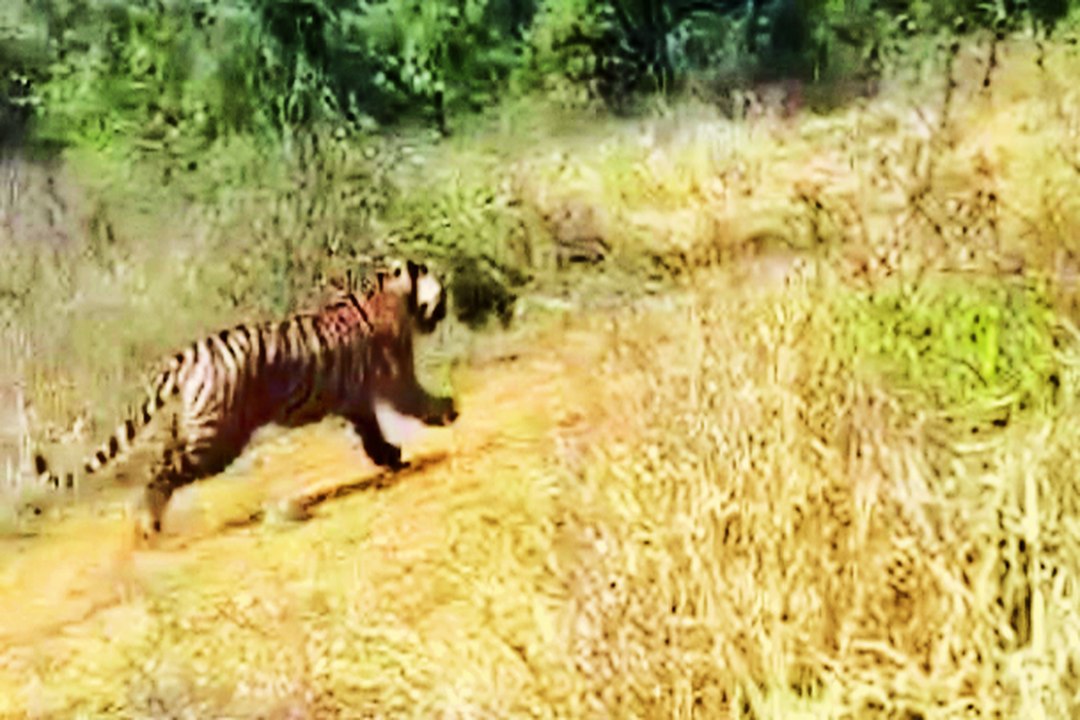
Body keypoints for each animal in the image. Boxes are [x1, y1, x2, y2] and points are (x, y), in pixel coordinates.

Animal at [33, 258, 458, 543]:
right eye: (439, 291)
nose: (445, 306)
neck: (392, 293)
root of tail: (189, 355)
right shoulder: (397, 381)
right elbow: (418, 402)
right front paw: (449, 411)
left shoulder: (355, 401)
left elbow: (371, 433)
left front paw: (390, 456)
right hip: (215, 438)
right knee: (162, 472)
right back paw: (148, 525)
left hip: (191, 426)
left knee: (161, 462)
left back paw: (145, 520)